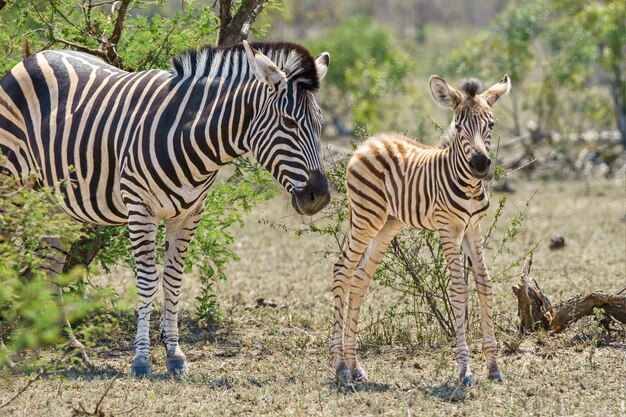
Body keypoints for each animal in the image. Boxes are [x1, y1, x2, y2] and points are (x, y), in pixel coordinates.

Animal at [0, 40, 332, 376]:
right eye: (289, 122)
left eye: (320, 124)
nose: (319, 196)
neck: (192, 137)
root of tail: (33, 57)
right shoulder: (140, 208)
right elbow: (147, 282)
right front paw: (141, 359)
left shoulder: (189, 214)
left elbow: (173, 281)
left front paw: (174, 354)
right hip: (10, 187)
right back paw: (8, 353)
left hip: (56, 204)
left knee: (48, 269)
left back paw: (72, 349)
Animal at [330, 74, 510, 384]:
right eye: (458, 126)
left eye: (491, 124)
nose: (479, 164)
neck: (468, 186)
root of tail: (368, 142)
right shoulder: (448, 229)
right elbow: (459, 288)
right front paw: (465, 369)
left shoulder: (473, 228)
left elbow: (484, 284)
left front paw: (493, 366)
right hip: (366, 217)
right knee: (343, 269)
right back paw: (340, 364)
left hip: (388, 223)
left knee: (361, 276)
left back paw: (355, 365)